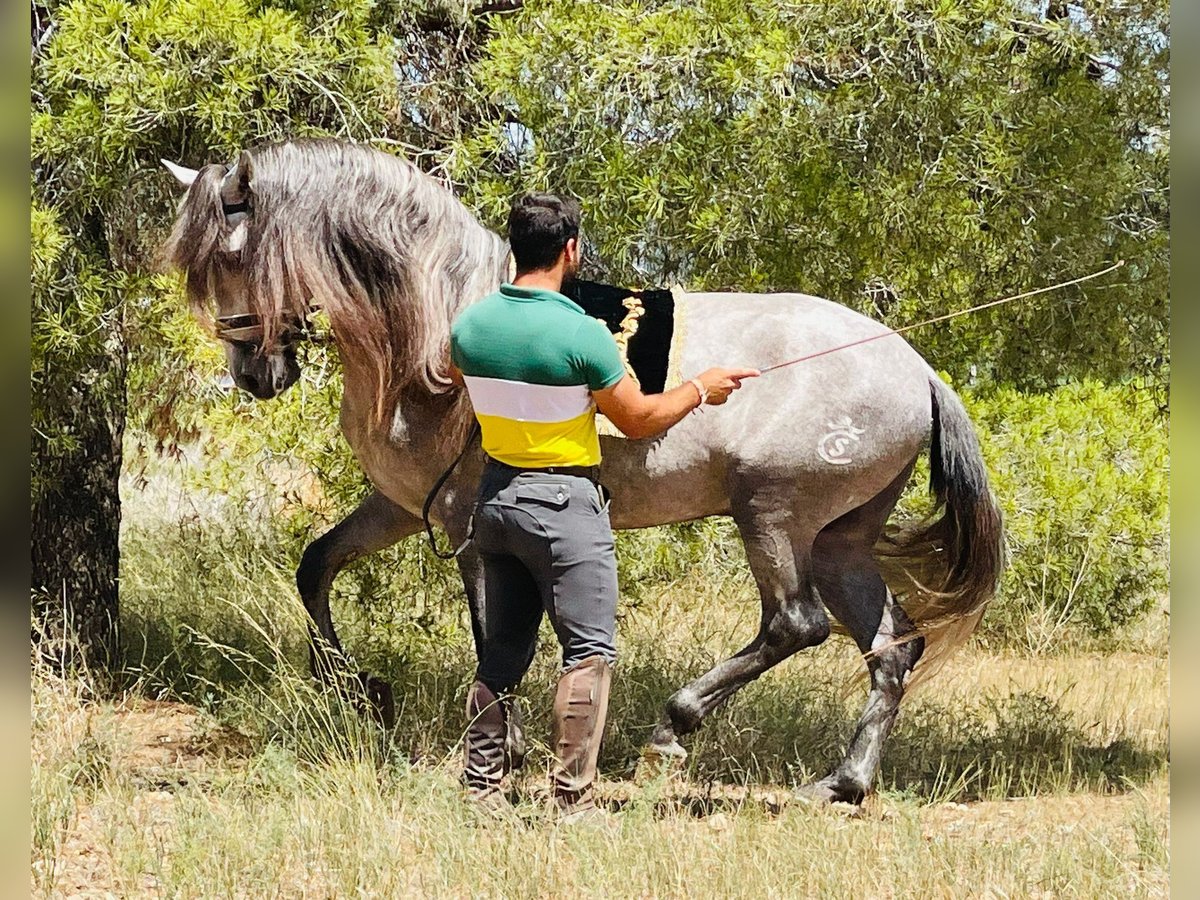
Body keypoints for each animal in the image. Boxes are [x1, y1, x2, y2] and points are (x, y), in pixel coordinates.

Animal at [162, 137, 1003, 806]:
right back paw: (843, 783)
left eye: (231, 255)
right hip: (839, 540)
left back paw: (674, 731)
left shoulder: (466, 523)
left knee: (795, 625)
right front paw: (356, 689)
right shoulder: (402, 506)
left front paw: (506, 747)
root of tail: (917, 368)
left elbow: (493, 634)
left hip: (772, 515)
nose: (255, 374)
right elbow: (315, 565)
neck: (433, 329)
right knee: (892, 647)